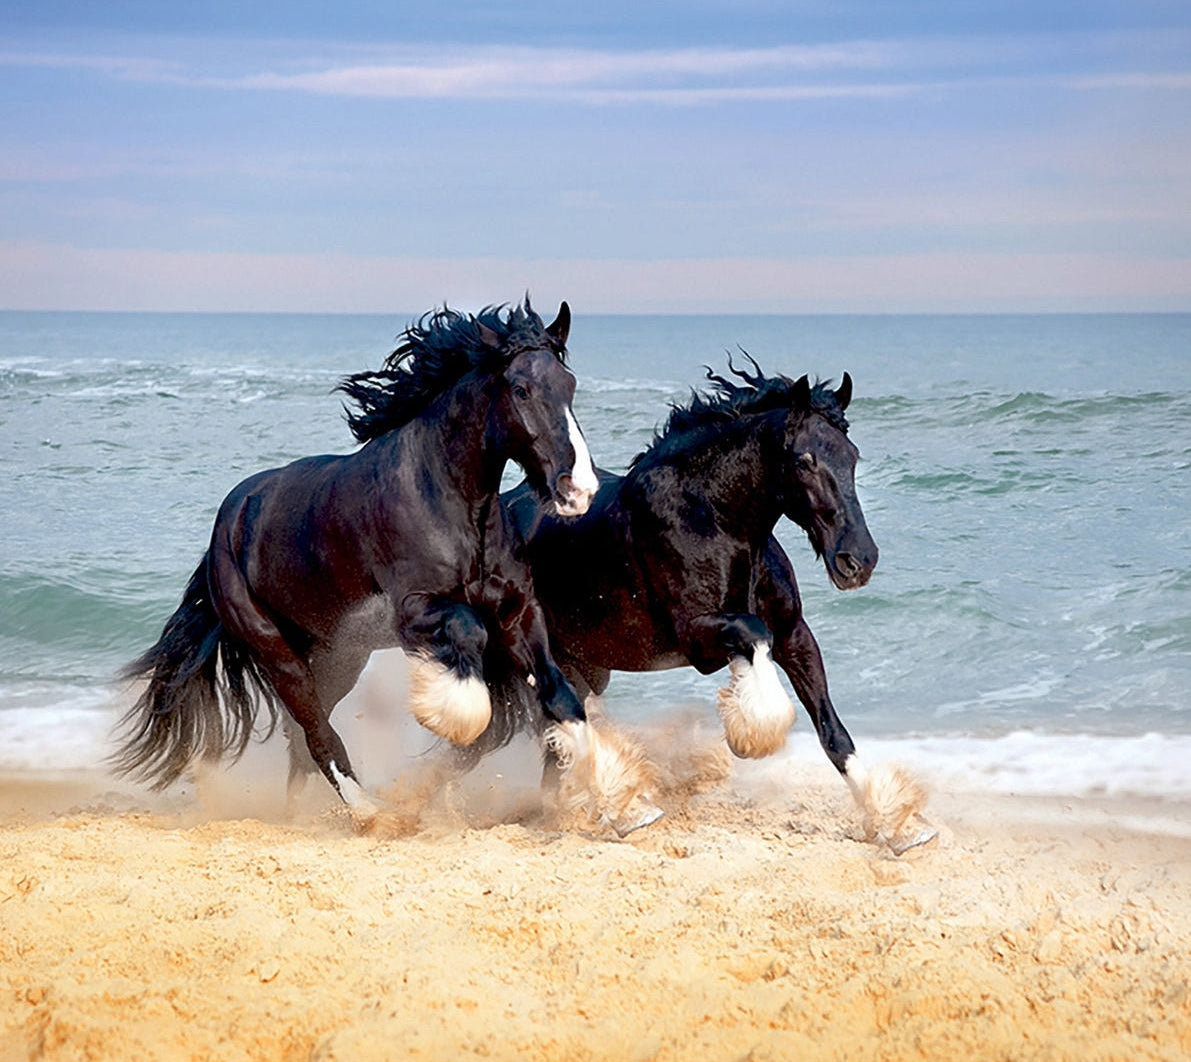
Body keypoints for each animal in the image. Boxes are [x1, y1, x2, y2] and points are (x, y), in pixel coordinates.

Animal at [113, 300, 660, 836]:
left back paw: (304, 813)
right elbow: (468, 633)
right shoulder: (415, 611)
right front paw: (453, 711)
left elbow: (561, 696)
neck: (451, 501)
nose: (579, 490)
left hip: (337, 656)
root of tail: (229, 522)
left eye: (569, 385)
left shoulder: (518, 611)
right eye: (521, 388)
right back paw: (371, 813)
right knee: (316, 732)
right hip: (276, 652)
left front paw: (626, 806)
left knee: (301, 735)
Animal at [504, 355, 936, 853]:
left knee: (556, 744)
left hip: (585, 668)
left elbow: (833, 732)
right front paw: (752, 730)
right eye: (805, 460)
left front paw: (898, 826)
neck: (713, 519)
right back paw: (625, 811)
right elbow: (752, 633)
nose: (858, 561)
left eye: (852, 455)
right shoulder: (696, 634)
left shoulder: (795, 635)